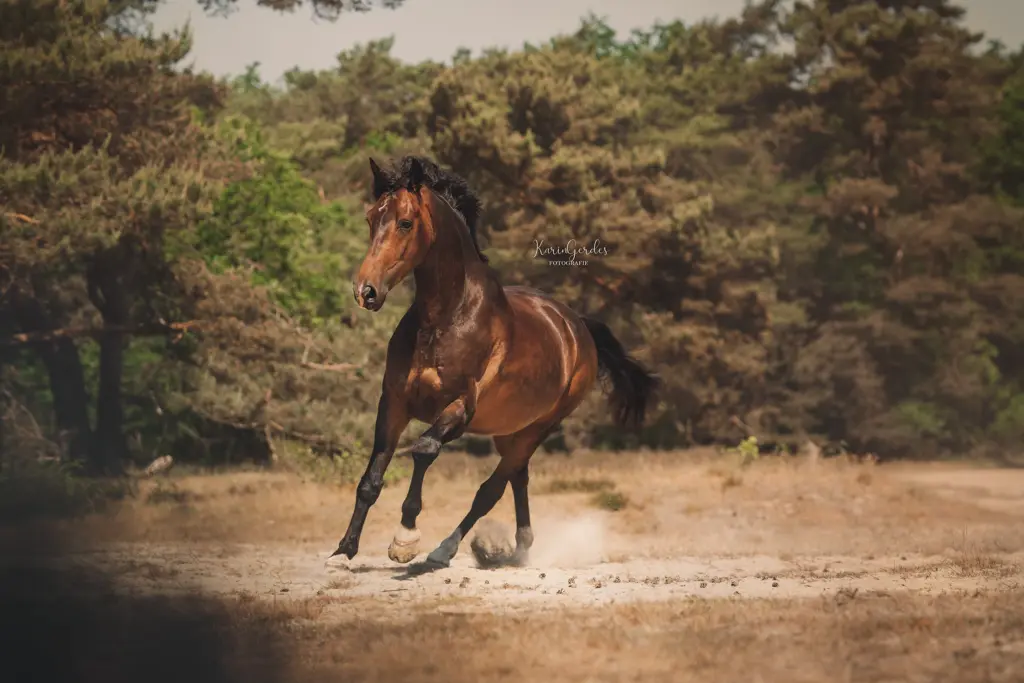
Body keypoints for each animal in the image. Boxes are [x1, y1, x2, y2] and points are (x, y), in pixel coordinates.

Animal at [331, 157, 659, 569]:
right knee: (518, 478)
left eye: (405, 222)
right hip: (510, 430)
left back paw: (445, 549)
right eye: (371, 218)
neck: (444, 319)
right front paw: (344, 550)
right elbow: (370, 479)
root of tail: (577, 327)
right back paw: (521, 547)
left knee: (492, 489)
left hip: (539, 427)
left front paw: (405, 538)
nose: (366, 291)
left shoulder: (460, 408)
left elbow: (424, 450)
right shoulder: (394, 402)